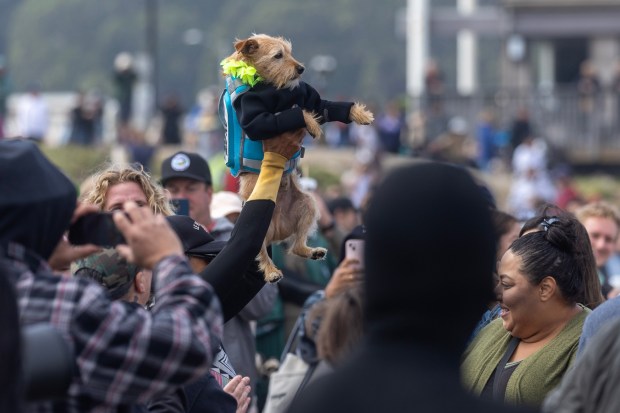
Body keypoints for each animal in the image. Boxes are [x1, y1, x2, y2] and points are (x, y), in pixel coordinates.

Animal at [220, 33, 376, 282]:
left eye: (290, 52)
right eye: (278, 55)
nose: (301, 68)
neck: (274, 87)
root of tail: (277, 231)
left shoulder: (309, 97)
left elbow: (325, 106)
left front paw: (361, 114)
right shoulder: (255, 117)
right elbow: (296, 112)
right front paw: (311, 124)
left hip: (308, 204)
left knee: (296, 246)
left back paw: (312, 251)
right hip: (259, 227)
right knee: (259, 250)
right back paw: (272, 271)